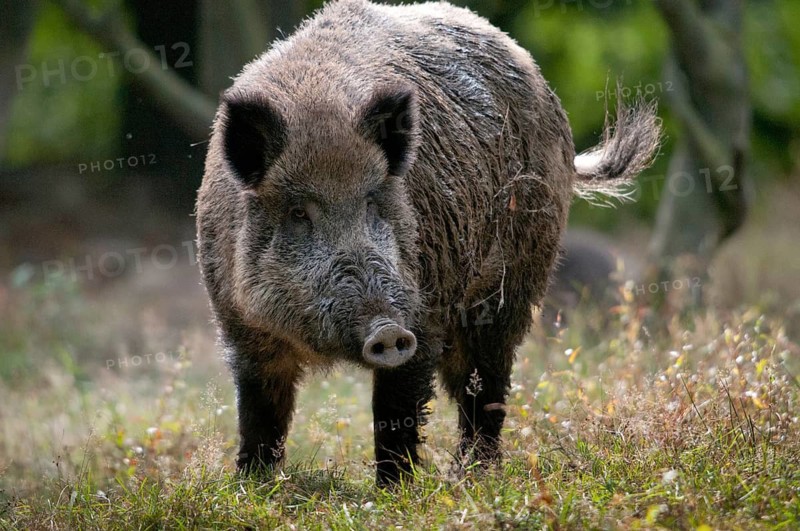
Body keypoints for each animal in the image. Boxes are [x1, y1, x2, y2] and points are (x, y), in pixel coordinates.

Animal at [196, 0, 659, 485]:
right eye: (299, 213)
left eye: (374, 201)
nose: (386, 329)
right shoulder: (239, 325)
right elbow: (259, 411)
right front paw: (253, 485)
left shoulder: (423, 313)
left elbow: (396, 408)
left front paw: (392, 490)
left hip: (514, 284)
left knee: (486, 380)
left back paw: (473, 473)